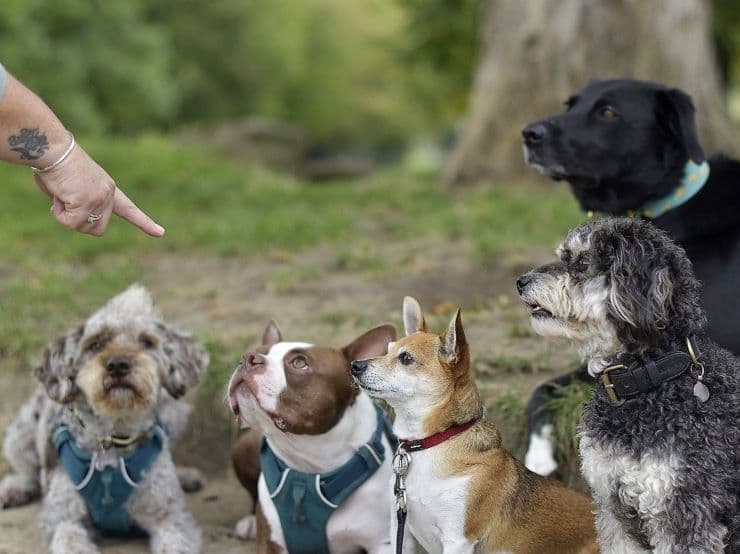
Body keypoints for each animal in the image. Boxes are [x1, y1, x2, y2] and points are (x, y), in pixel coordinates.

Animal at [0, 284, 208, 552]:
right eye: (95, 343)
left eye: (146, 341)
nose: (118, 364)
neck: (112, 438)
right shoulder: (64, 519)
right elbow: (69, 538)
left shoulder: (171, 518)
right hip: (19, 435)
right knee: (27, 472)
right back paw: (13, 489)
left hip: (174, 410)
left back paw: (185, 476)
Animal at [350, 298, 600, 552]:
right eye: (387, 350)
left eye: (405, 359)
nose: (355, 365)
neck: (433, 442)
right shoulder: (401, 530)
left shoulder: (457, 540)